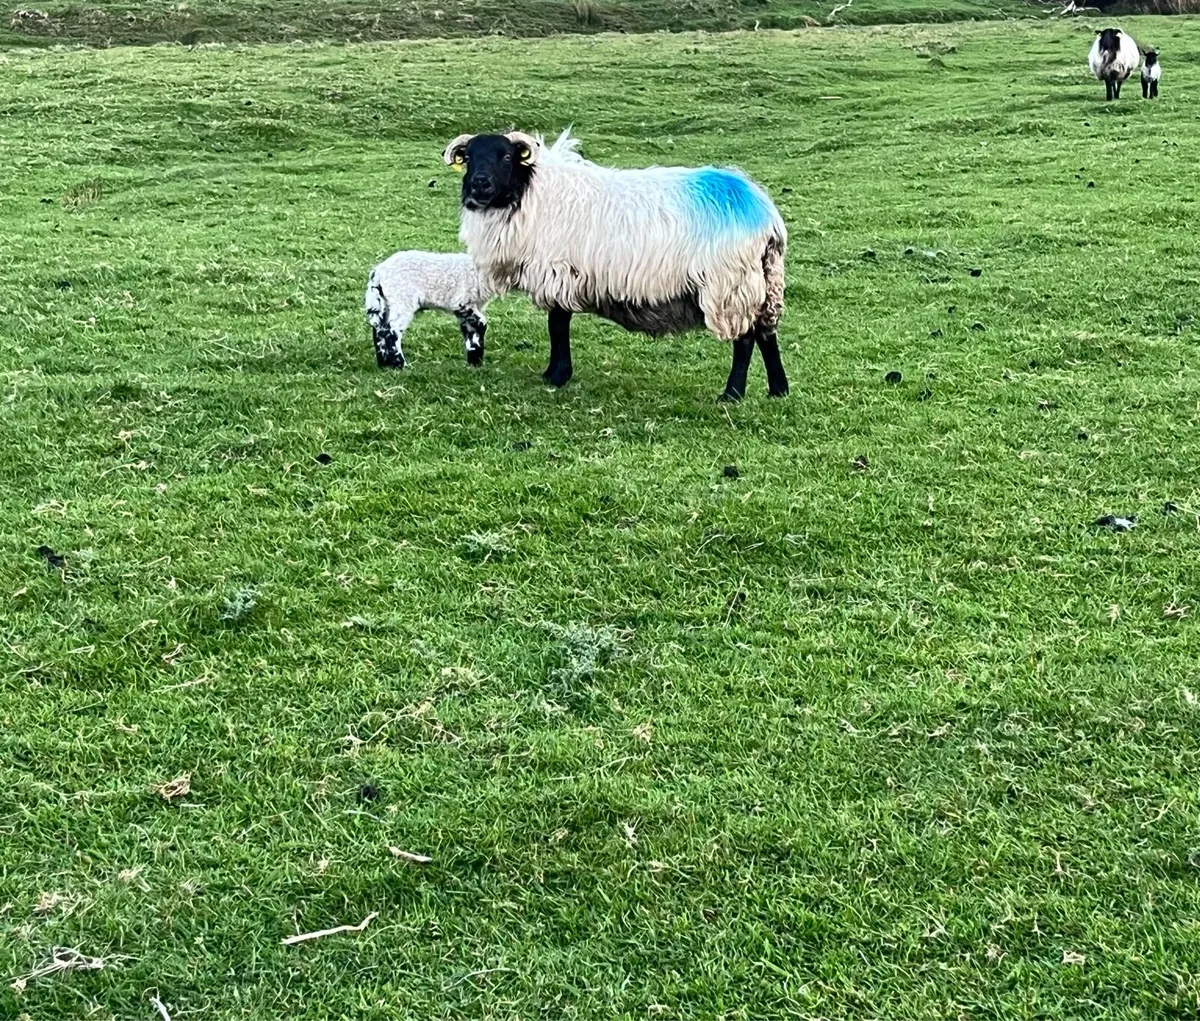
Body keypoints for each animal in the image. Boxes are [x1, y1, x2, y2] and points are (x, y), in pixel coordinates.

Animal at [364, 250, 492, 369]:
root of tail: (378, 273)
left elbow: (471, 329)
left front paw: (474, 363)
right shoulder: (462, 301)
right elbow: (480, 324)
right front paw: (476, 363)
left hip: (384, 302)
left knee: (379, 329)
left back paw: (384, 365)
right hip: (401, 299)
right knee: (391, 330)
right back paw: (400, 365)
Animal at [442, 128, 788, 402]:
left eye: (505, 156)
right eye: (468, 157)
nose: (479, 184)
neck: (530, 194)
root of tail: (764, 214)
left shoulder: (558, 272)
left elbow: (557, 325)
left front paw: (557, 376)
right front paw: (553, 373)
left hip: (731, 283)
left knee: (745, 338)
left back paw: (732, 394)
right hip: (764, 281)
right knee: (767, 333)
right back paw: (778, 389)